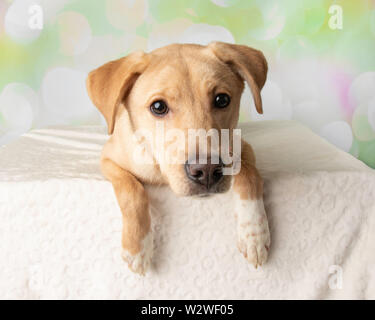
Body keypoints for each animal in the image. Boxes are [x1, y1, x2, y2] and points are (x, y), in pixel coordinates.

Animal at [87, 42, 272, 276]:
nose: (207, 171)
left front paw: (254, 234)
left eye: (222, 100)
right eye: (158, 107)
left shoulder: (241, 147)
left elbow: (249, 176)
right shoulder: (109, 159)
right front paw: (137, 246)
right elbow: (132, 190)